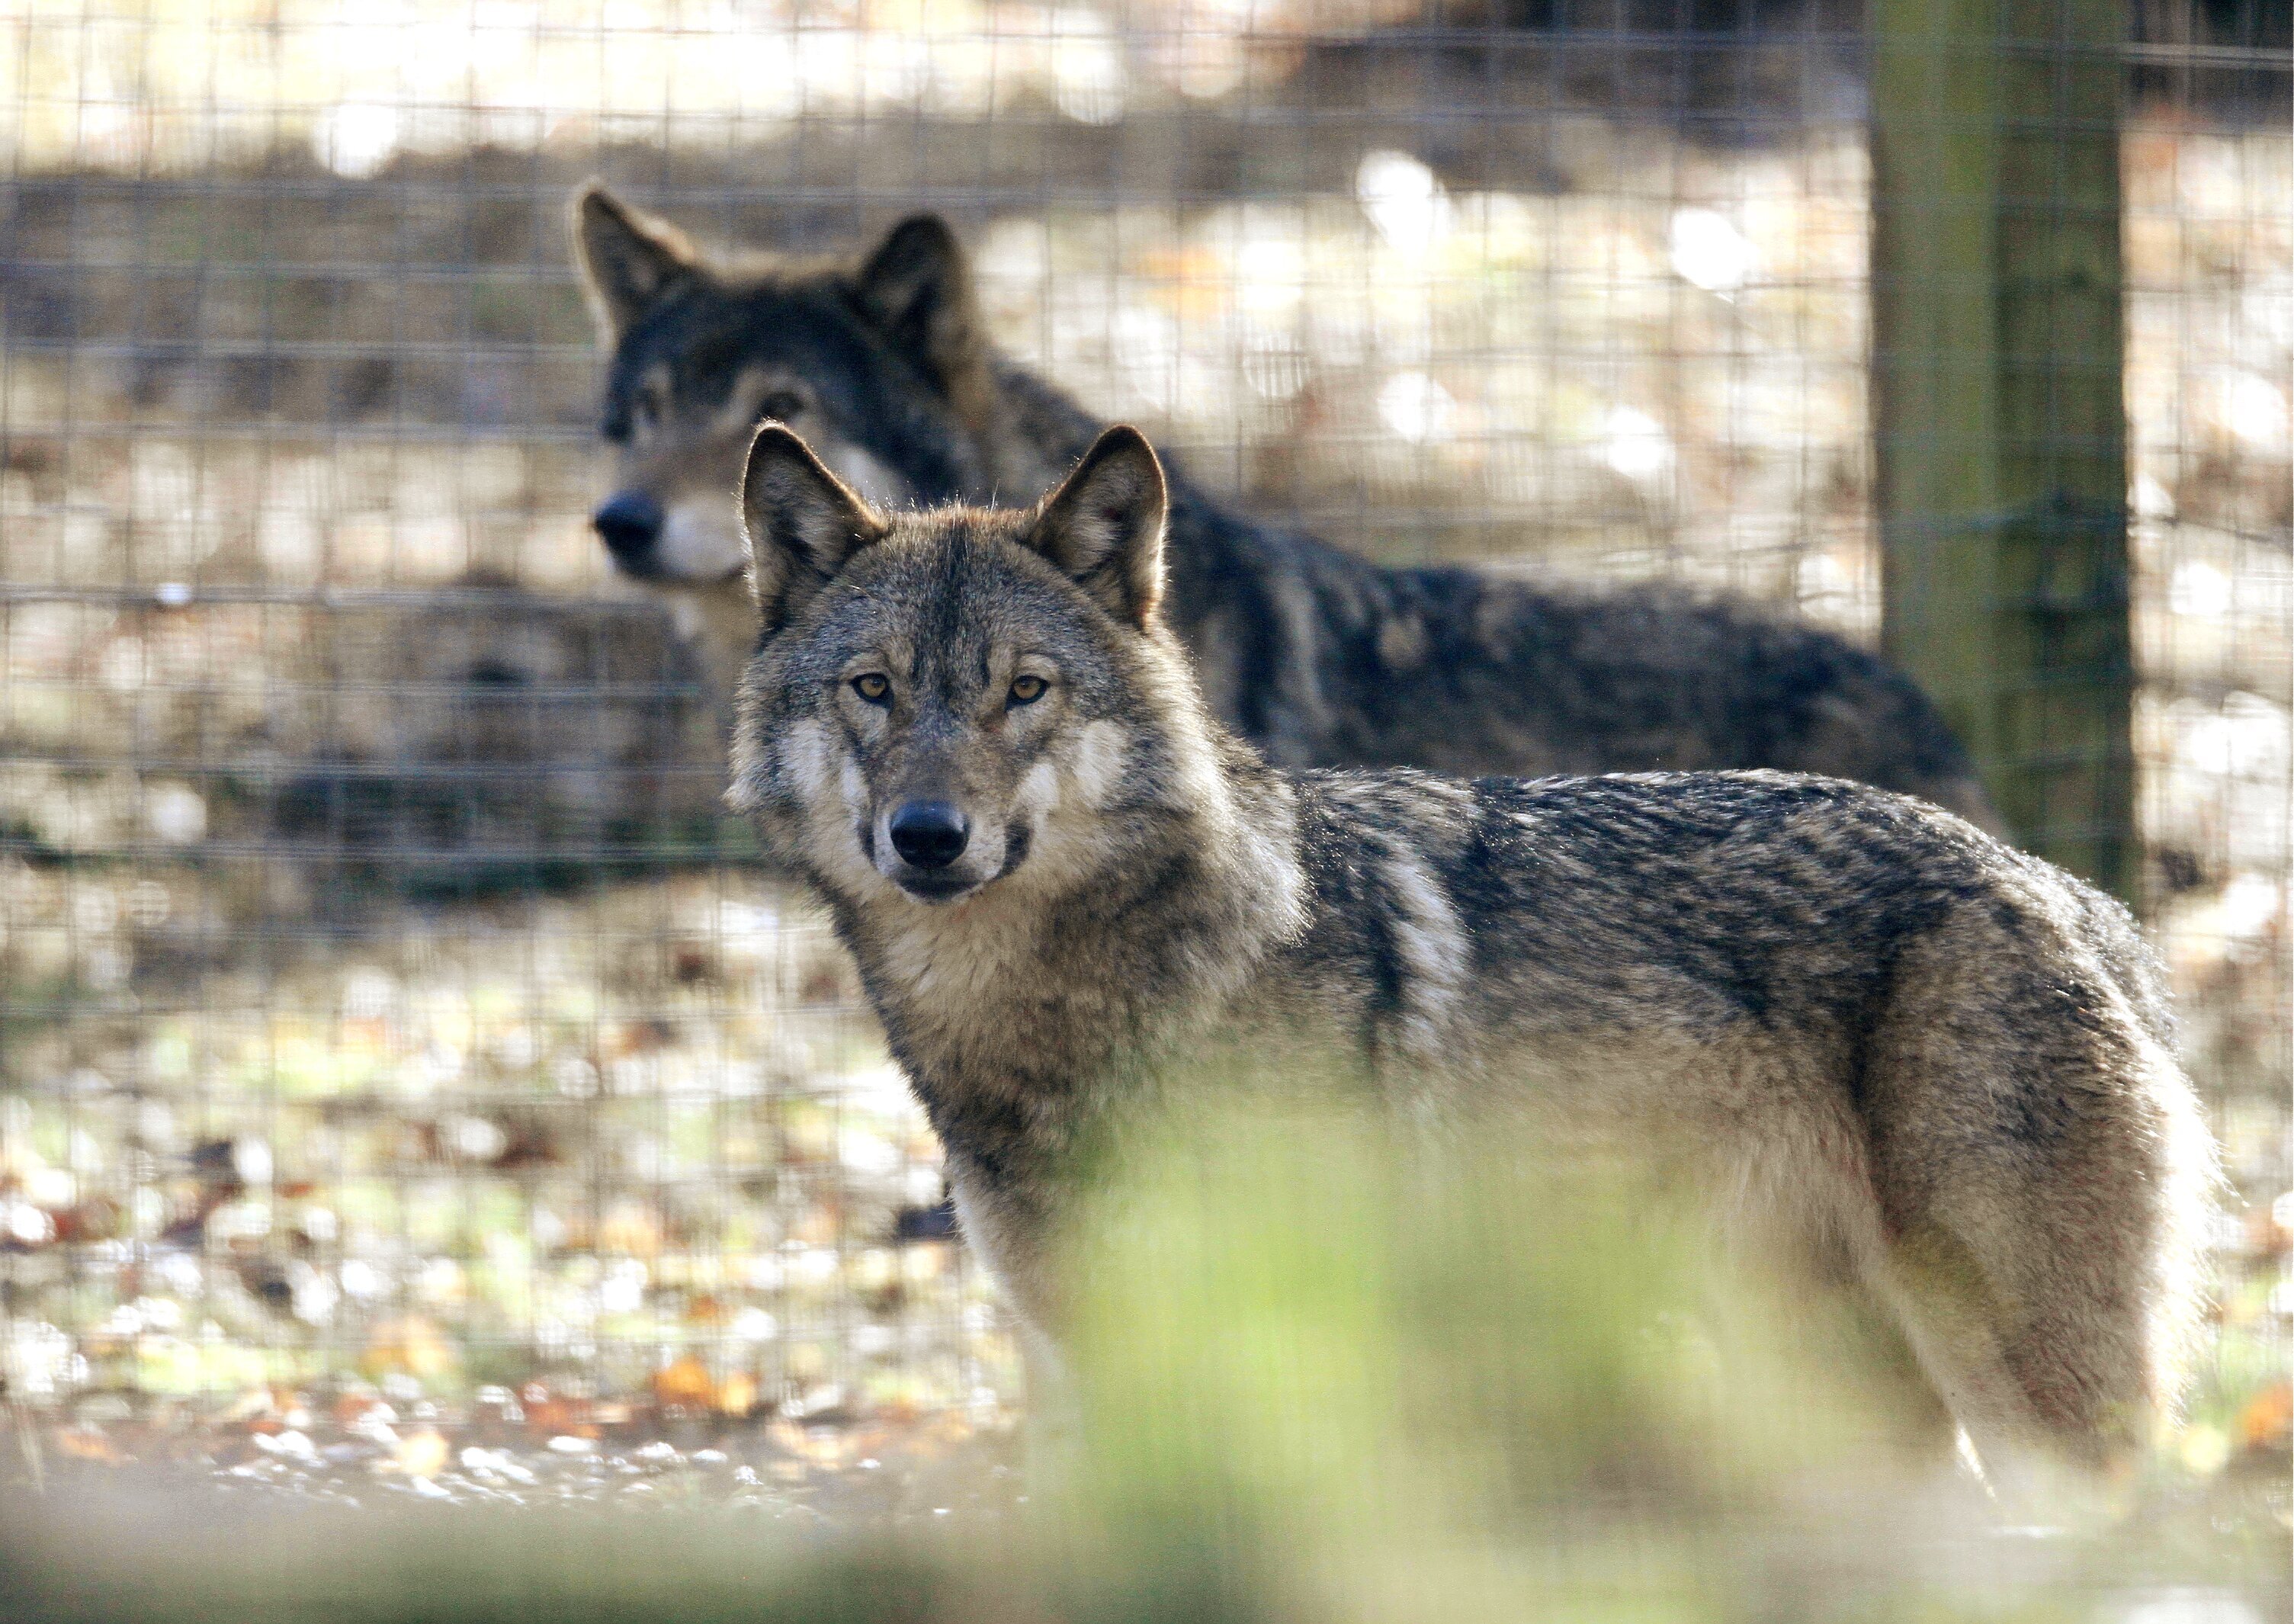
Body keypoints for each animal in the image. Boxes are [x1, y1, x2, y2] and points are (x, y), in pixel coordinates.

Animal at [724, 415, 2211, 1468]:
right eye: (873, 689)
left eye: (1023, 692)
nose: (927, 836)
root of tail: (2055, 888)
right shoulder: (1086, 1370)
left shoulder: (1305, 1352)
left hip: (2022, 1384)